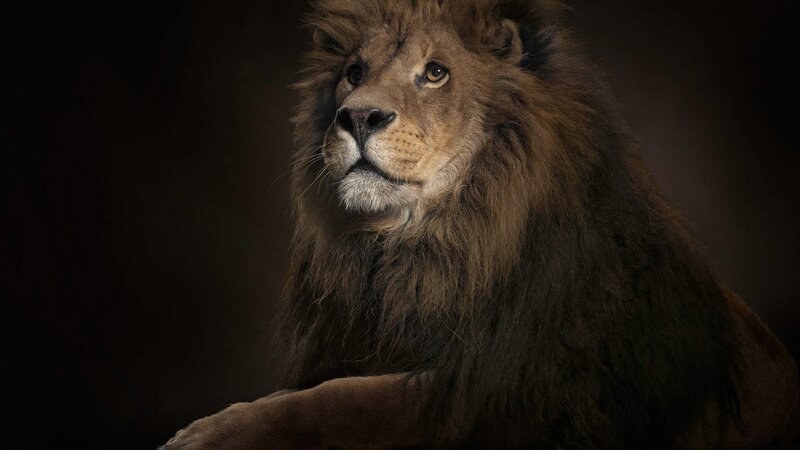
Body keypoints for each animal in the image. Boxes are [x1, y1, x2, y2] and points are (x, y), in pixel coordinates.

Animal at [162, 0, 800, 448]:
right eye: (353, 72)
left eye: (435, 73)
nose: (356, 117)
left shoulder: (492, 389)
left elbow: (336, 402)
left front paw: (206, 435)